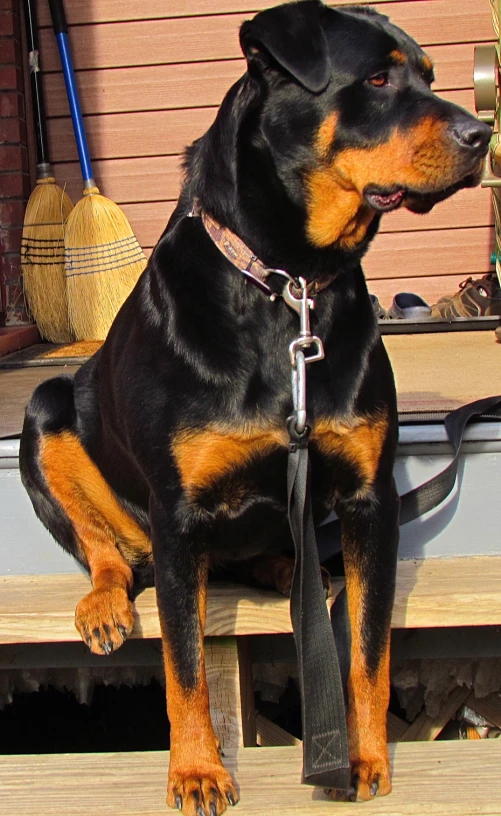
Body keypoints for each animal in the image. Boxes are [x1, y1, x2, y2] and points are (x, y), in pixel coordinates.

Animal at [19, 3, 488, 812]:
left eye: (430, 76)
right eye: (375, 79)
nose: (481, 134)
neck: (288, 283)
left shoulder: (370, 498)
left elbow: (366, 650)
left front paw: (364, 756)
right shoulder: (178, 515)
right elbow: (185, 666)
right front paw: (196, 770)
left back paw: (292, 570)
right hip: (45, 411)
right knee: (103, 548)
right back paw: (106, 603)